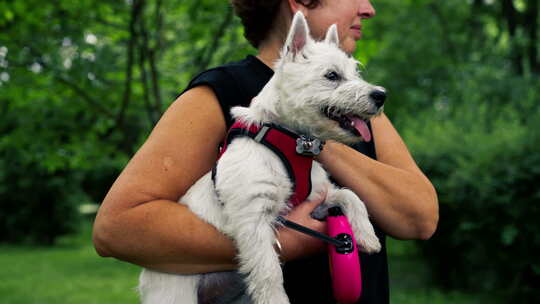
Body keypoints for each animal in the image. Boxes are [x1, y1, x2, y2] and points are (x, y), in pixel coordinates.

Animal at [139, 11, 384, 304]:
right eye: (332, 75)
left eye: (355, 72)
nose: (381, 95)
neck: (293, 141)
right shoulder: (253, 218)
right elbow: (268, 270)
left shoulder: (316, 199)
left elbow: (350, 194)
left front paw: (366, 235)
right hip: (175, 293)